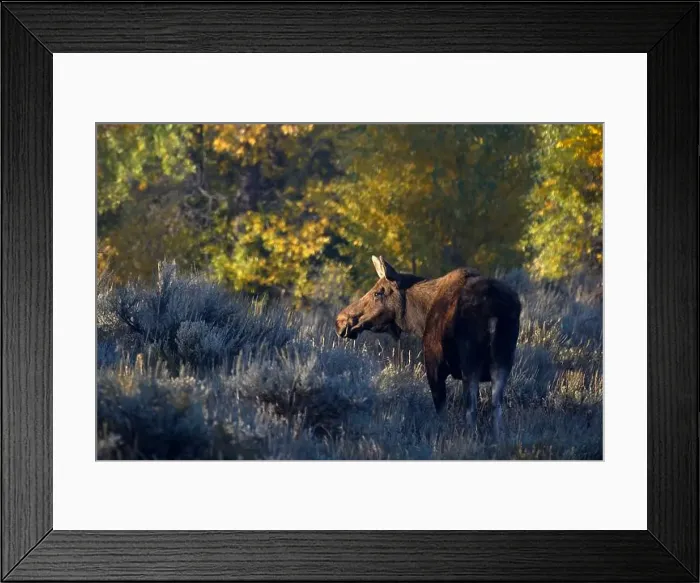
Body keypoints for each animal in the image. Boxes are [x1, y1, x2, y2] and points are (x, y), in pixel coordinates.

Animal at [335, 256, 521, 437]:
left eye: (378, 292)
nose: (340, 320)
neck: (419, 318)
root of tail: (494, 309)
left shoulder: (434, 365)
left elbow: (441, 410)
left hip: (470, 361)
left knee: (471, 410)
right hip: (503, 360)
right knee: (496, 408)